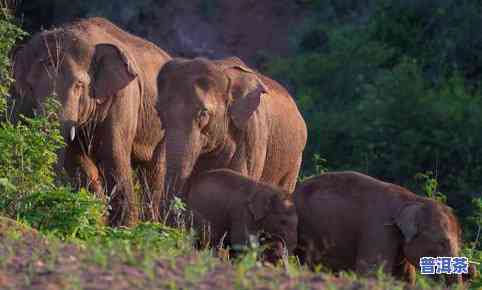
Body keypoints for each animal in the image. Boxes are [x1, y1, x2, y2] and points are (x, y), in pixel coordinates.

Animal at [10, 17, 173, 227]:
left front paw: (124, 227)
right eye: (30, 86)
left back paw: (152, 225)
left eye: (79, 85)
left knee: (154, 171)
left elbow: (112, 154)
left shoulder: (124, 97)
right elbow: (77, 159)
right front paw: (95, 218)